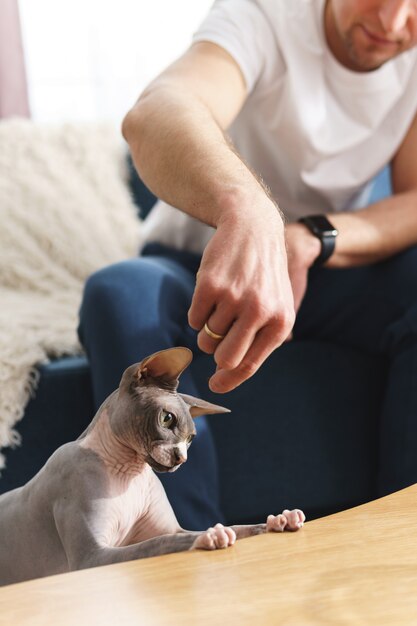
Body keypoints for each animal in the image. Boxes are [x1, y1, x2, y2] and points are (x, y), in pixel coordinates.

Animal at [0, 346, 306, 584]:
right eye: (166, 419)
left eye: (191, 438)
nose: (182, 458)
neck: (127, 471)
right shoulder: (92, 556)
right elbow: (160, 543)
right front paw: (208, 536)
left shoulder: (170, 528)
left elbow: (242, 528)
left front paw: (278, 520)